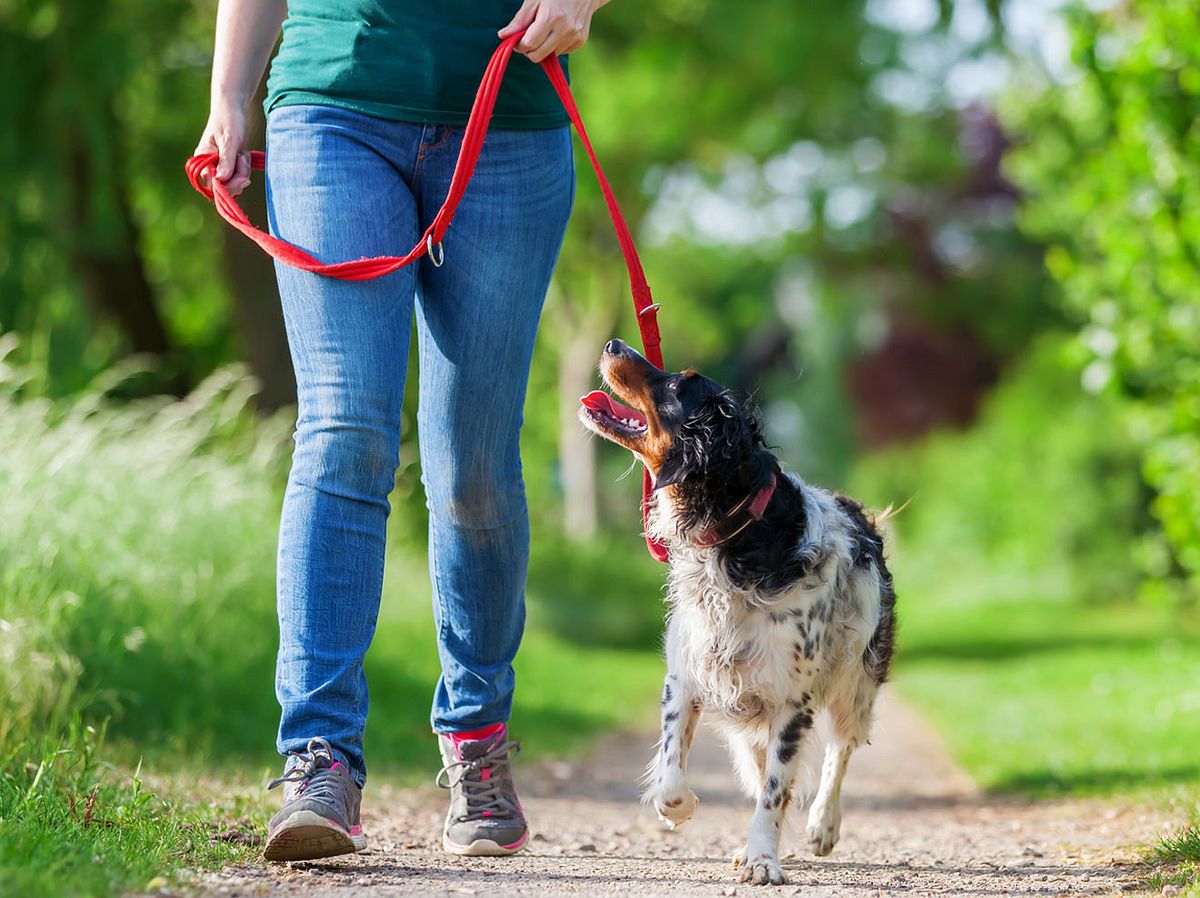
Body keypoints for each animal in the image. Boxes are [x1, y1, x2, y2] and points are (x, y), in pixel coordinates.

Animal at [576, 336, 897, 883]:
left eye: (678, 385)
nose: (614, 342)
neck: (735, 538)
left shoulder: (793, 700)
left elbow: (776, 791)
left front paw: (763, 858)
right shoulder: (688, 673)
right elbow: (673, 773)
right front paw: (679, 809)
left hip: (856, 680)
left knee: (840, 751)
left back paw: (823, 825)